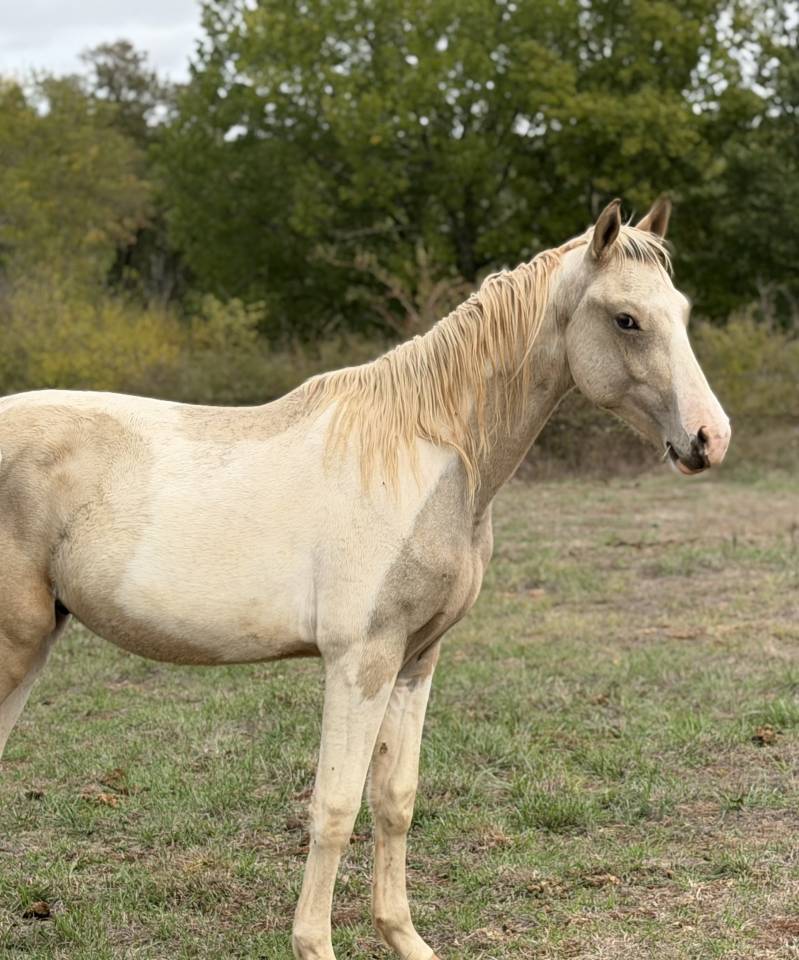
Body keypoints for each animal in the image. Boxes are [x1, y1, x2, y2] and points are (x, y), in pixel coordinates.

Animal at [0, 197, 730, 959]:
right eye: (626, 318)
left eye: (680, 310)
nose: (709, 438)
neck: (427, 452)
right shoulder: (360, 661)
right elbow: (335, 806)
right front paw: (315, 944)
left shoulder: (415, 660)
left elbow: (393, 800)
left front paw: (403, 936)